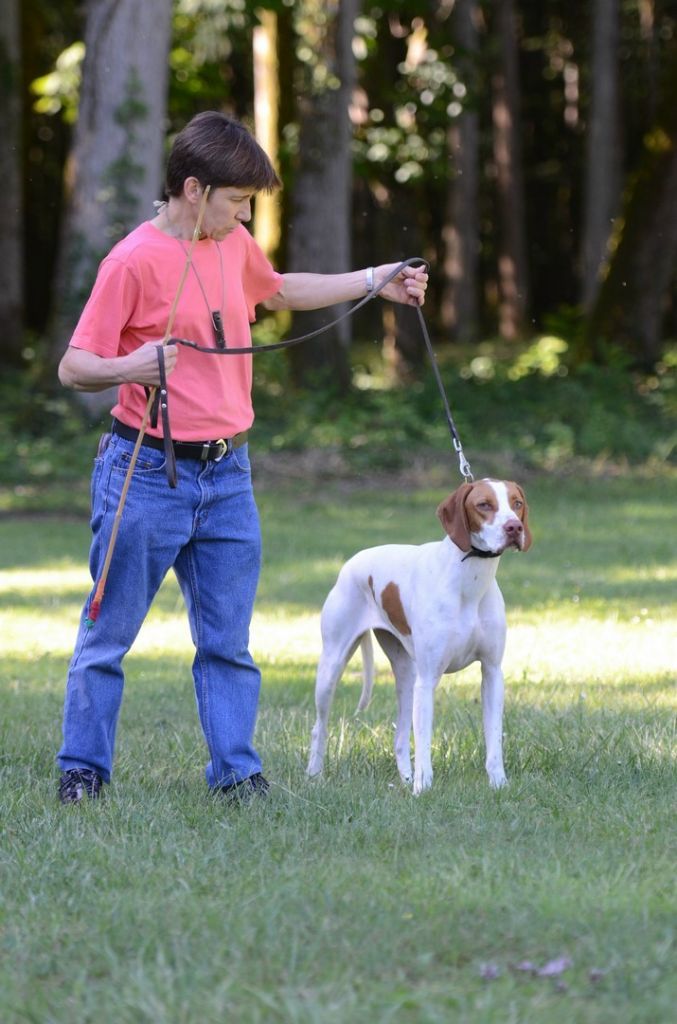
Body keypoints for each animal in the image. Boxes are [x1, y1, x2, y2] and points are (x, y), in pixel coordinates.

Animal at [307, 479, 532, 793]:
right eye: (484, 504)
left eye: (517, 503)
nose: (514, 527)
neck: (469, 579)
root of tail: (352, 561)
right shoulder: (427, 680)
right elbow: (424, 743)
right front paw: (423, 788)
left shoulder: (492, 673)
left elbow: (494, 740)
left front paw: (498, 783)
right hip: (332, 667)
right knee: (320, 726)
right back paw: (314, 775)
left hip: (406, 675)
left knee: (400, 738)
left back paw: (405, 778)